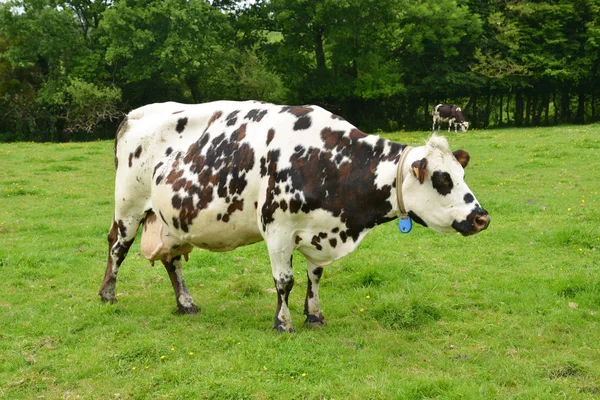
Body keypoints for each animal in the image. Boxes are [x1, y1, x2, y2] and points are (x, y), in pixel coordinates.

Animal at [99, 100, 492, 332]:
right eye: (443, 179)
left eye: (461, 173)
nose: (481, 218)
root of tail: (133, 114)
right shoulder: (277, 230)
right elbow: (284, 280)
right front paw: (283, 322)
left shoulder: (319, 231)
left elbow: (315, 276)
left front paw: (314, 315)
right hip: (129, 207)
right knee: (117, 246)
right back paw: (108, 295)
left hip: (171, 219)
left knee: (173, 260)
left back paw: (186, 304)